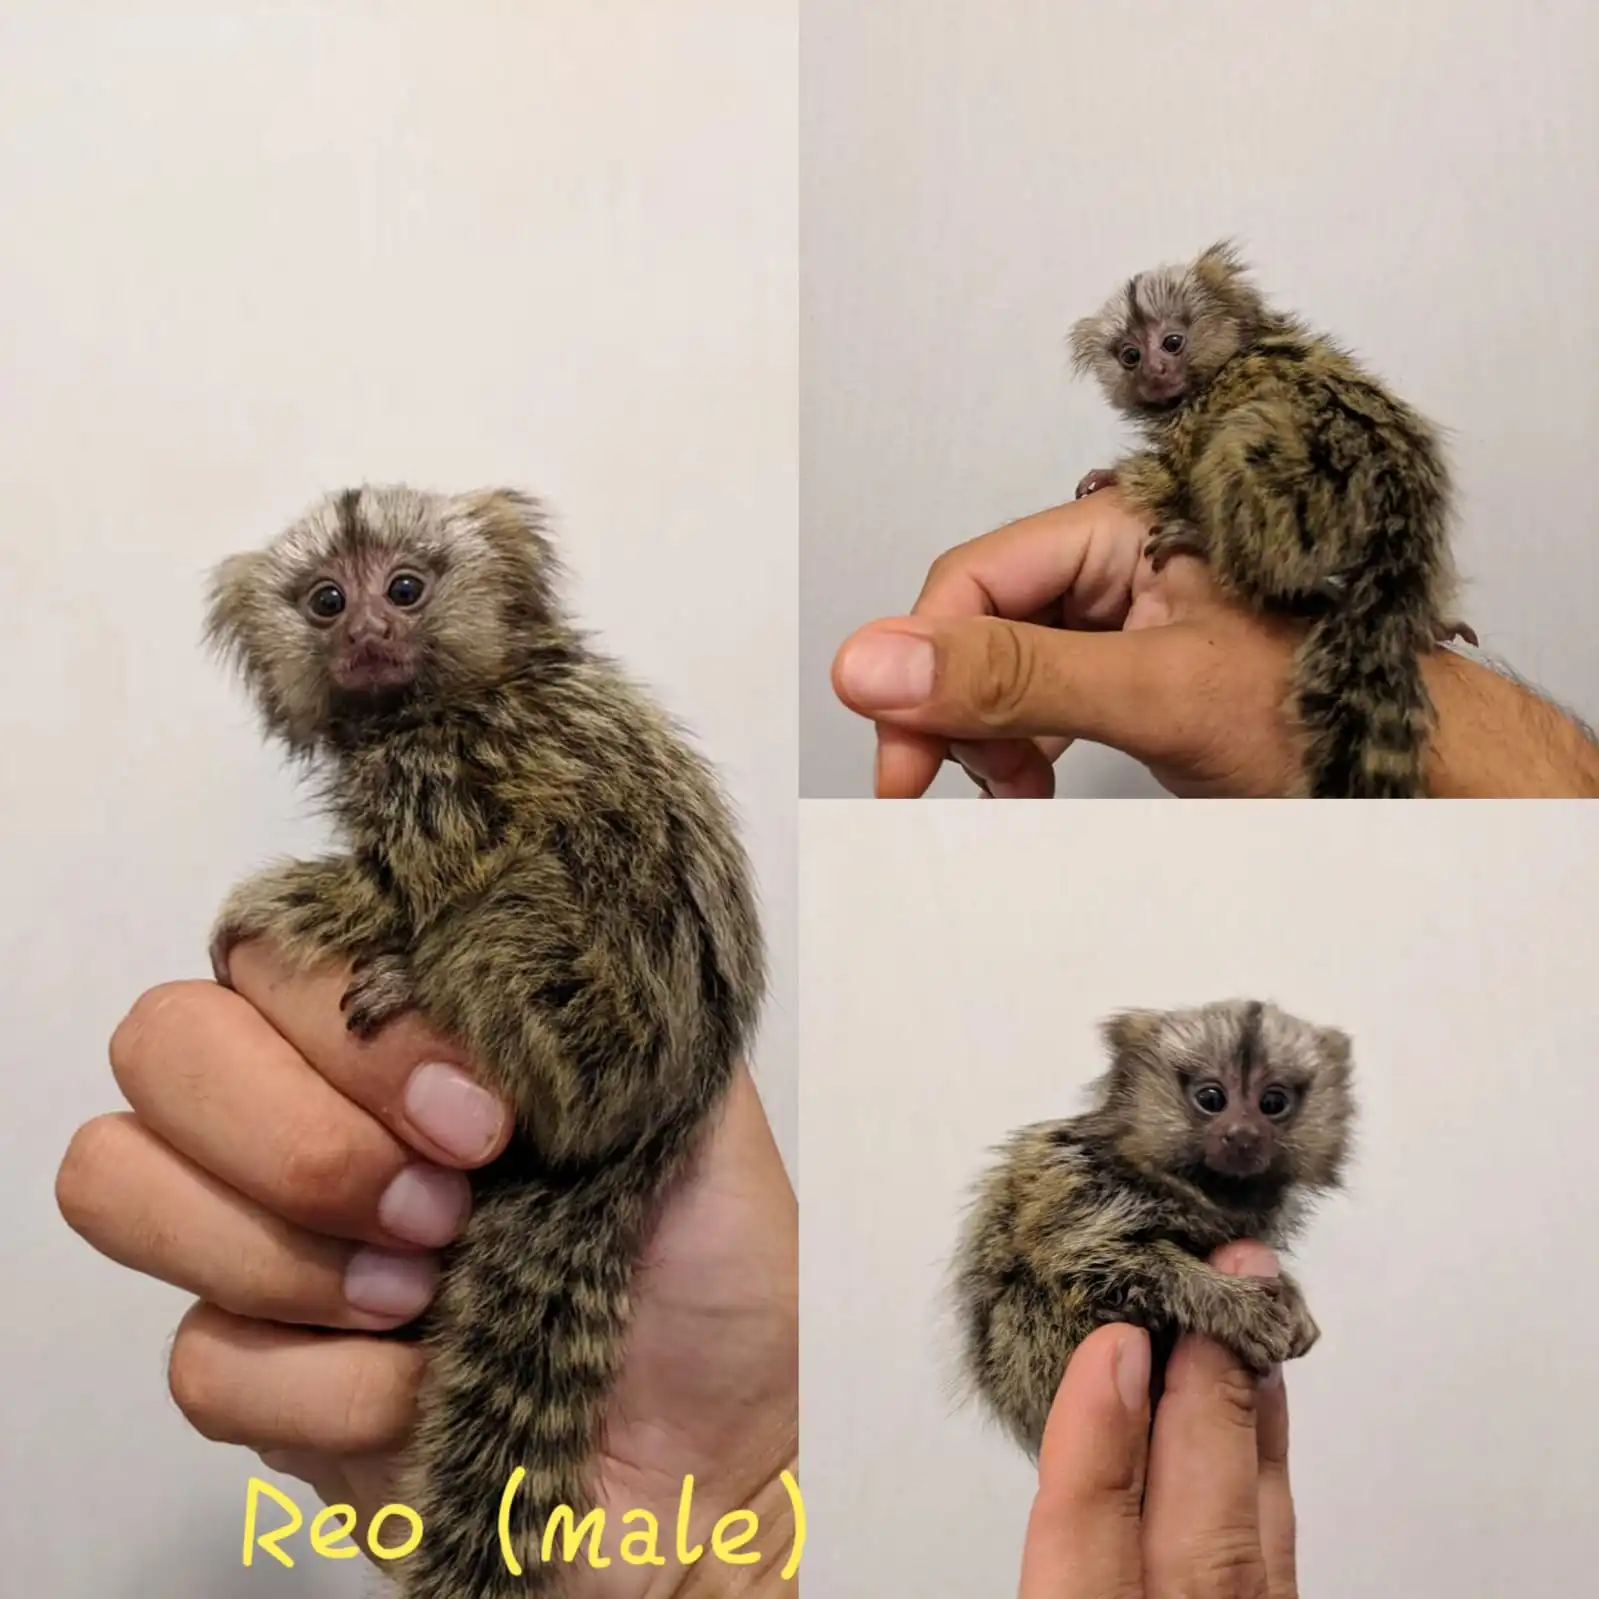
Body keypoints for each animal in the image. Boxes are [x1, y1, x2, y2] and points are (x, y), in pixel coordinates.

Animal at [203, 484, 766, 1598]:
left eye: (405, 589)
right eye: (326, 601)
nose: (369, 635)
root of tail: (657, 1124)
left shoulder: (451, 772)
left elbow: (407, 885)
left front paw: (260, 911)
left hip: (592, 1023)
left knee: (508, 906)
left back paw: (428, 983)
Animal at [952, 999, 1354, 1458]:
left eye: (1273, 1102)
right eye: (1211, 1099)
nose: (1242, 1135)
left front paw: (1290, 1295)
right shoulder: (1086, 1187)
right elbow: (1085, 1254)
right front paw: (1235, 1306)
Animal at [1068, 240, 1472, 796]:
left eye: (1172, 342)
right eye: (1129, 355)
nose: (1154, 371)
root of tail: (1396, 498)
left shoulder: (1195, 419)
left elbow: (1172, 475)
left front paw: (1110, 478)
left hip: (1306, 482)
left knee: (1242, 446)